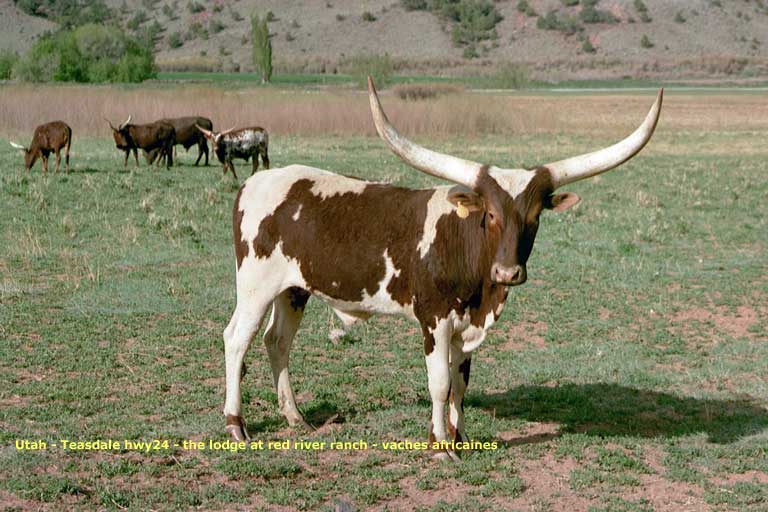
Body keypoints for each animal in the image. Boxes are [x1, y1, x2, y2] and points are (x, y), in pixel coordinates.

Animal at [220, 78, 660, 462]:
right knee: (237, 339)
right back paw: (236, 424)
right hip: (255, 286)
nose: (508, 272)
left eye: (535, 216)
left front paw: (460, 437)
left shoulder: (466, 326)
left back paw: (295, 418)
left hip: (293, 289)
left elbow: (460, 384)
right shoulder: (434, 319)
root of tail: (256, 182)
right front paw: (440, 445)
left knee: (277, 341)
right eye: (490, 214)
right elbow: (440, 383)